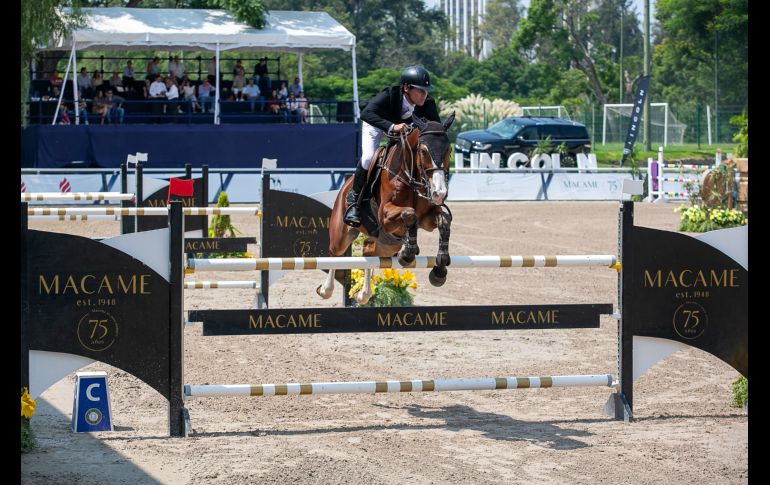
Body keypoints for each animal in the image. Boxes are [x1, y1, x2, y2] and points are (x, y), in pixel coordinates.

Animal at [316, 113, 452, 302]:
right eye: (424, 151)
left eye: (449, 150)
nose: (439, 193)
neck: (410, 175)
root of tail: (344, 187)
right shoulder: (385, 216)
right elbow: (409, 213)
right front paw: (407, 254)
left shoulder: (426, 218)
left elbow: (444, 220)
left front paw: (439, 271)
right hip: (341, 235)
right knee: (335, 254)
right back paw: (326, 290)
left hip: (387, 244)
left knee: (368, 251)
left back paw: (364, 294)